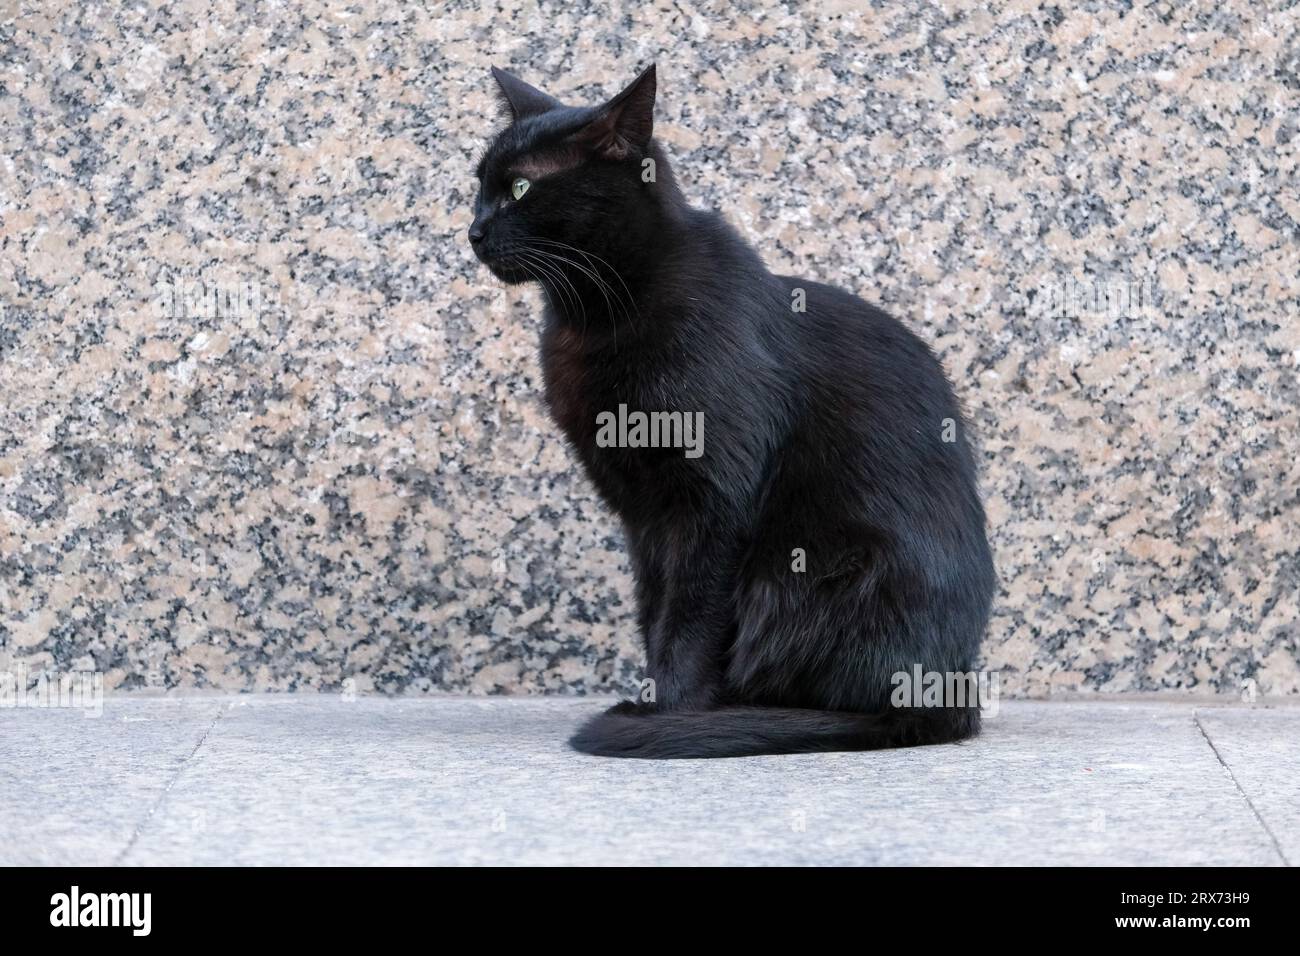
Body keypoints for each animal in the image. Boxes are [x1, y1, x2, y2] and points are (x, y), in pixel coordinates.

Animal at [467, 63, 993, 759]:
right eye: (478, 189)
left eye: (521, 188)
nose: (471, 231)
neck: (598, 316)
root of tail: (949, 693)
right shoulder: (643, 516)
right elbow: (654, 610)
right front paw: (659, 700)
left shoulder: (713, 503)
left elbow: (690, 619)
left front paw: (673, 716)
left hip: (804, 570)